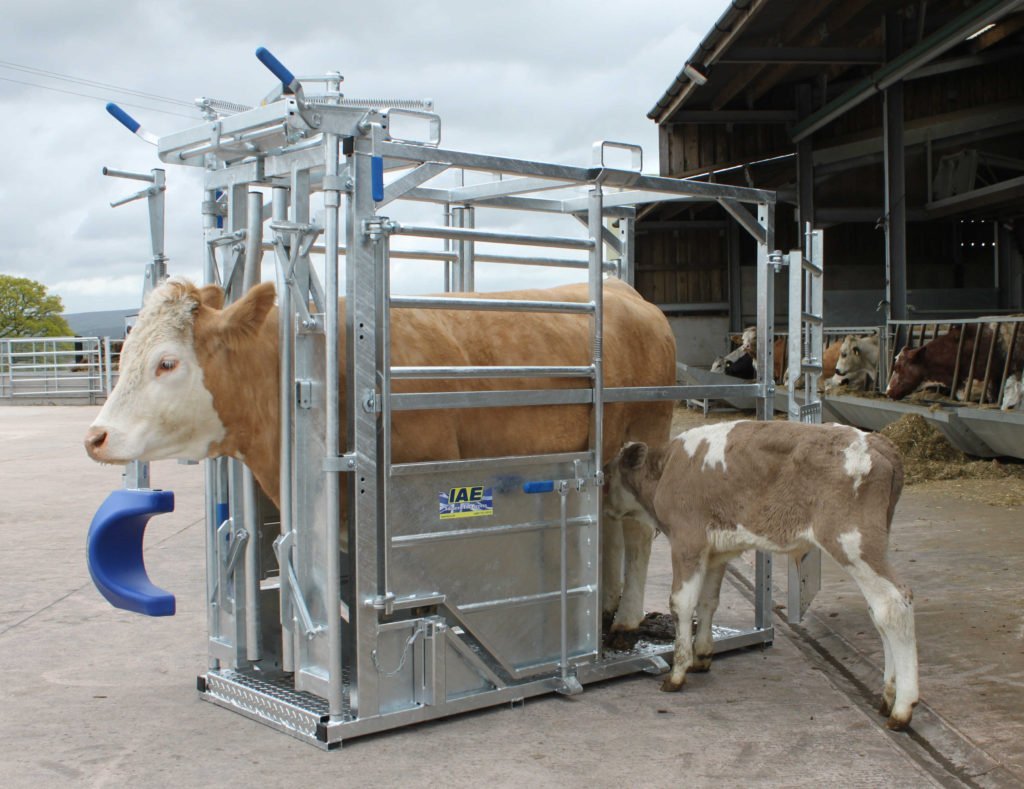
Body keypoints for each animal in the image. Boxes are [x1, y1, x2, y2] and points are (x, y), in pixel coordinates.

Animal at [84, 277, 677, 641]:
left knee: (636, 530)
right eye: (124, 350)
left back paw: (625, 618)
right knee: (606, 520)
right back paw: (603, 605)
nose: (96, 436)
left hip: (644, 437)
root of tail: (628, 293)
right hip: (604, 459)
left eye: (167, 363)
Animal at [605, 420, 918, 731]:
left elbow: (681, 603)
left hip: (852, 543)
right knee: (879, 613)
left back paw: (902, 709)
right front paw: (702, 656)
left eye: (606, 474)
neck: (665, 470)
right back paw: (888, 696)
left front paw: (677, 672)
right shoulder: (716, 552)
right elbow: (708, 602)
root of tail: (877, 441)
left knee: (892, 605)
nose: (605, 510)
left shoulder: (687, 542)